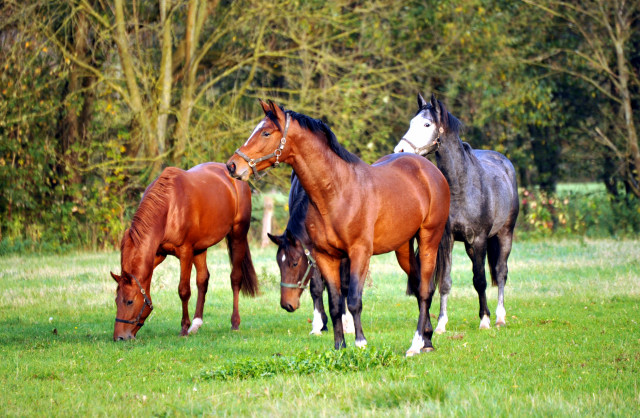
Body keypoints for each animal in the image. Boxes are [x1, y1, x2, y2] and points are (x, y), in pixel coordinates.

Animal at [112, 162, 258, 342]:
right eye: (116, 301)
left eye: (129, 302)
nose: (119, 337)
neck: (169, 207)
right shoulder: (158, 254)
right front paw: (189, 326)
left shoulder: (185, 252)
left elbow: (184, 290)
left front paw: (183, 328)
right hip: (201, 248)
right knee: (203, 280)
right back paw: (196, 324)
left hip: (237, 236)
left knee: (235, 278)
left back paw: (235, 323)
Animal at [266, 171, 356, 334]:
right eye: (278, 264)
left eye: (295, 263)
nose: (286, 304)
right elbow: (316, 288)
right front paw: (318, 324)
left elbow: (345, 286)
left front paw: (349, 324)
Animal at [396, 94, 520, 334]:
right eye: (411, 123)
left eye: (427, 124)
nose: (400, 151)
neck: (461, 187)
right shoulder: (447, 240)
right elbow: (445, 281)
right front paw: (441, 324)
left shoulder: (479, 239)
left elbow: (480, 280)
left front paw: (484, 320)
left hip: (504, 234)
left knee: (501, 272)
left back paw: (500, 317)